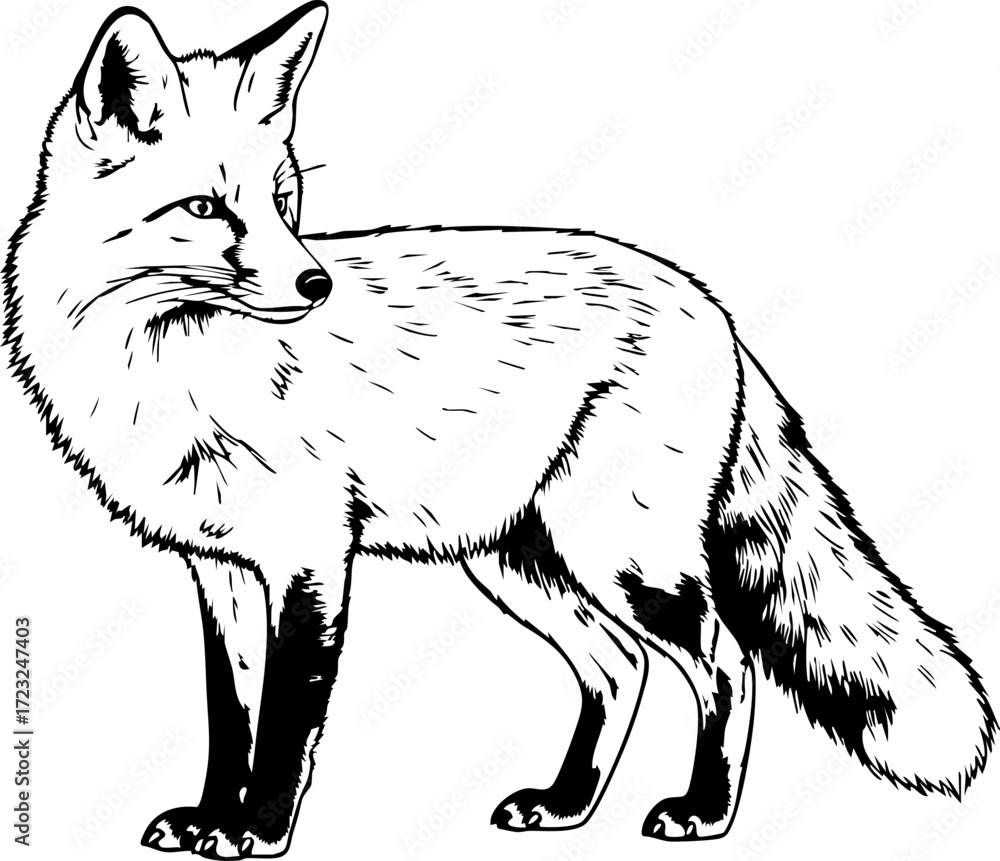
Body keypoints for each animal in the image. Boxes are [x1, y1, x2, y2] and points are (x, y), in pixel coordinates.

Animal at [3, 2, 995, 858]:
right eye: (206, 209)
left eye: (285, 205)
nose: (316, 284)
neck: (173, 370)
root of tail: (715, 309)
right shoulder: (219, 568)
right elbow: (230, 715)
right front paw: (211, 816)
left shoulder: (309, 560)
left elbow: (286, 722)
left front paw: (257, 830)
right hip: (521, 559)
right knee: (620, 668)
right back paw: (567, 804)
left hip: (622, 557)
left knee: (727, 660)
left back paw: (704, 810)